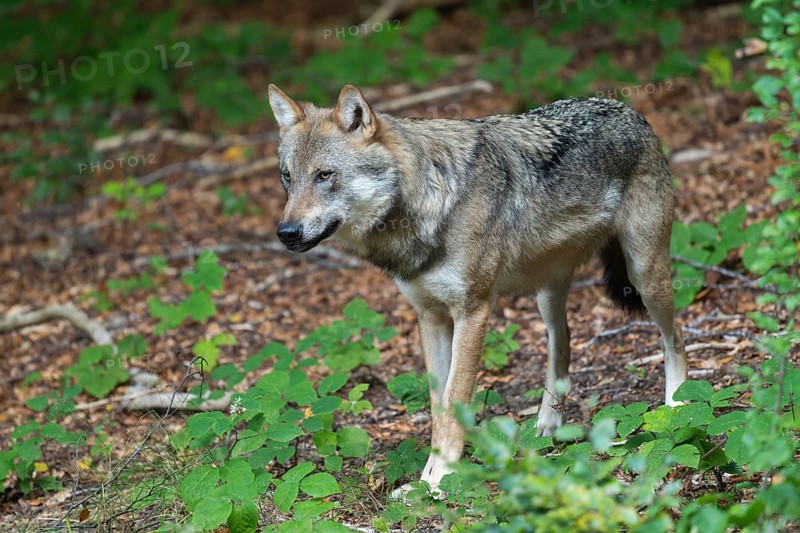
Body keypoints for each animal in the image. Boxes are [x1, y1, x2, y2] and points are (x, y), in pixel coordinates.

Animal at [267, 83, 688, 494]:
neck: (427, 203)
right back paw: (547, 427)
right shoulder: (430, 317)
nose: (285, 233)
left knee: (676, 338)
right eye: (287, 176)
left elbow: (455, 400)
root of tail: (627, 109)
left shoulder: (473, 311)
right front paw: (424, 482)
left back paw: (677, 406)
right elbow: (438, 405)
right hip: (547, 294)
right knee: (564, 342)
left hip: (644, 275)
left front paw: (440, 478)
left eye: (324, 175)